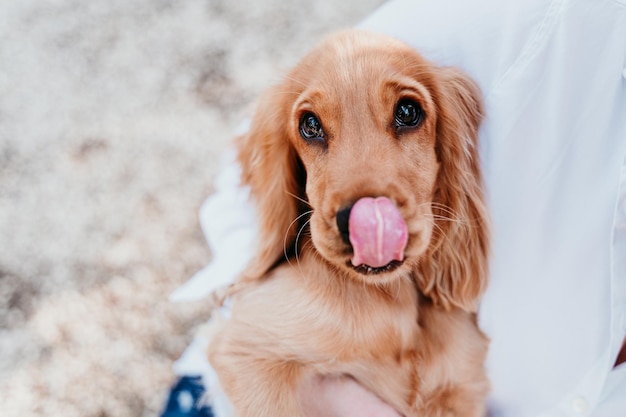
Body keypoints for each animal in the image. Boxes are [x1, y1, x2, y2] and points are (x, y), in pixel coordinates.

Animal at [207, 30, 490, 416]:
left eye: (408, 112)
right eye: (310, 125)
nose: (360, 221)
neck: (391, 300)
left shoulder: (460, 385)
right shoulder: (247, 345)